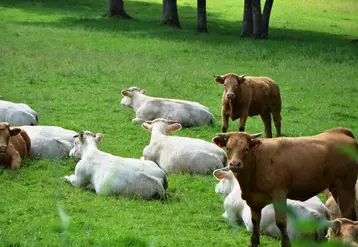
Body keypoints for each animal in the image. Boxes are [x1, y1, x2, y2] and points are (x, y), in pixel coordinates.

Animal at [214, 127, 356, 247]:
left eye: (246, 149)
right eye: (228, 148)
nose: (234, 164)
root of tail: (340, 132)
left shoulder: (279, 194)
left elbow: (281, 222)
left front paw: (286, 244)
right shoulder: (253, 199)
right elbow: (255, 220)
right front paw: (253, 242)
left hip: (346, 186)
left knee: (348, 213)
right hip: (336, 188)